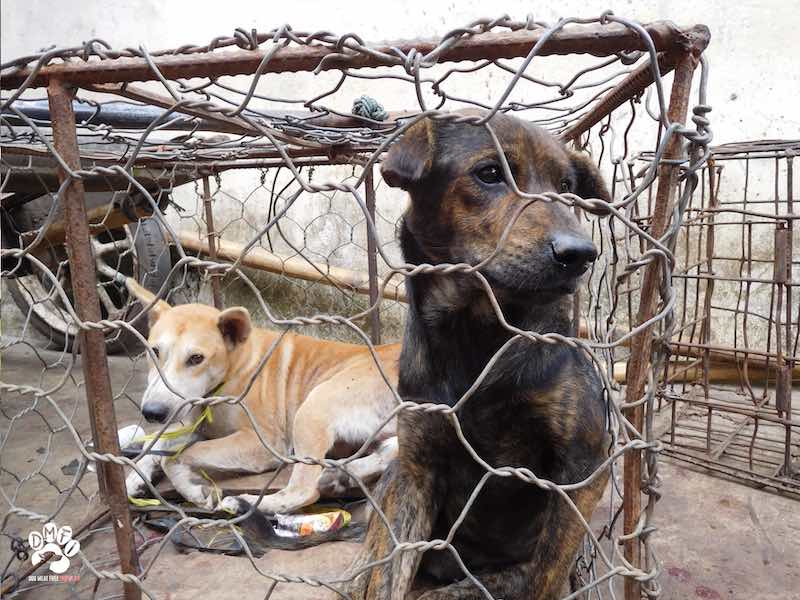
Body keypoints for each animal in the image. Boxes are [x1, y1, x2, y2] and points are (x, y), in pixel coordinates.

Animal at [125, 278, 400, 512]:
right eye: (154, 351)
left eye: (196, 358)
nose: (152, 412)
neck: (235, 366)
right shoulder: (191, 422)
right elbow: (156, 444)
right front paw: (133, 478)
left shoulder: (262, 444)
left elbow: (177, 456)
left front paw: (191, 489)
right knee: (387, 452)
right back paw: (341, 475)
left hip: (313, 408)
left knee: (304, 491)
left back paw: (247, 504)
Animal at [346, 112, 612, 600]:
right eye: (489, 173)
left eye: (567, 187)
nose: (581, 254)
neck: (473, 332)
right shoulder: (417, 467)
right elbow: (390, 575)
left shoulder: (584, 467)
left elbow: (545, 577)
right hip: (396, 478)